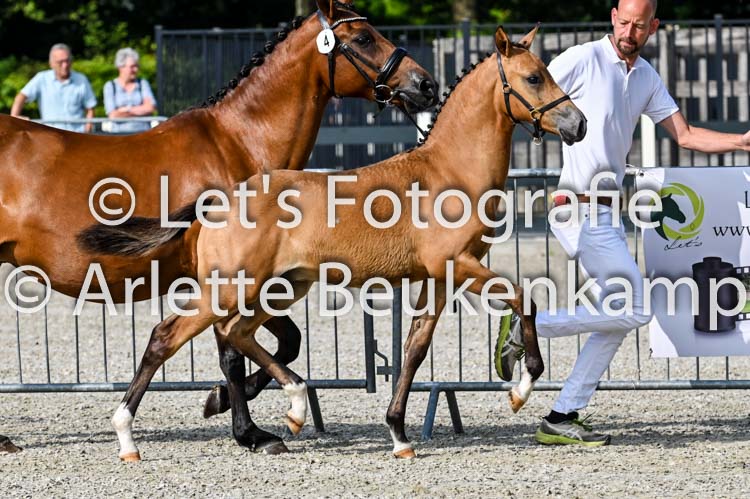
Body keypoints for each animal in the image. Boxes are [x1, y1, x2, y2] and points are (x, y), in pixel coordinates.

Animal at [0, 0, 437, 455]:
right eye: (364, 38)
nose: (426, 84)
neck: (237, 142)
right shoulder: (227, 281)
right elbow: (234, 352)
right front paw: (250, 431)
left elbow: (286, 341)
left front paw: (222, 401)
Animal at [78, 24, 586, 460]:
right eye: (534, 77)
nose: (577, 125)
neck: (448, 172)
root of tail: (218, 199)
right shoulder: (458, 264)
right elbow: (523, 297)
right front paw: (521, 385)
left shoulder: (441, 278)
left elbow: (415, 348)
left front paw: (399, 434)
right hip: (230, 288)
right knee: (169, 337)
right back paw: (128, 437)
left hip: (283, 285)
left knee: (239, 334)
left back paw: (293, 408)